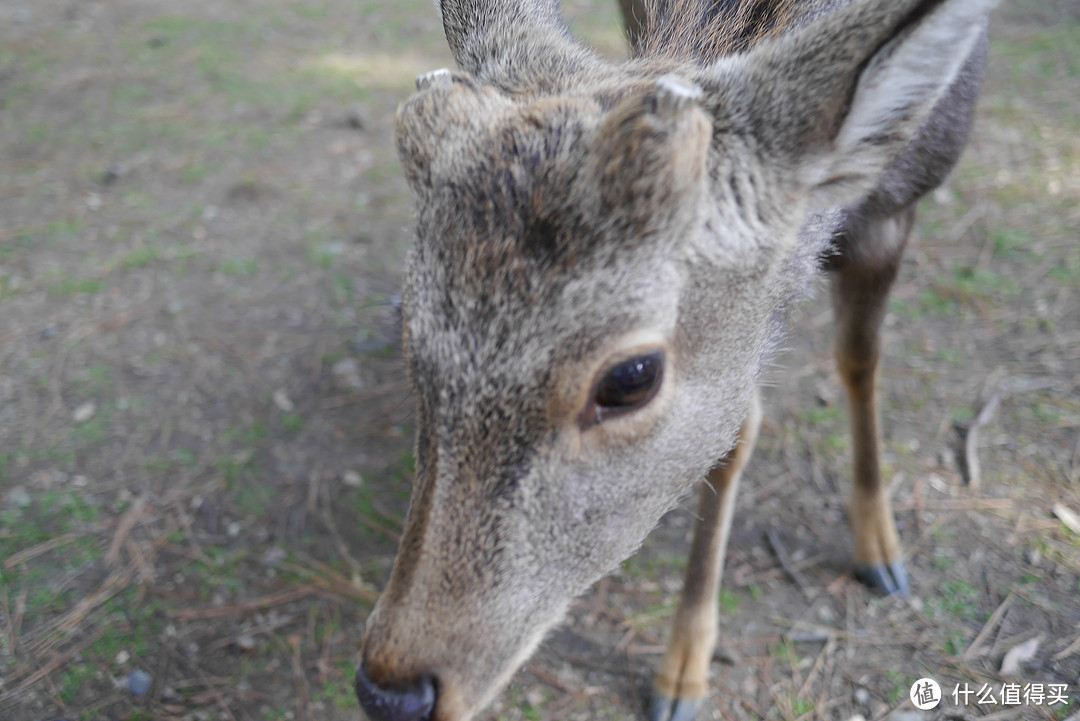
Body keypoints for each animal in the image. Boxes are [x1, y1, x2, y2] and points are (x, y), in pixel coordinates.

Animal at [356, 0, 993, 716]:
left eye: (631, 377)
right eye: (405, 319)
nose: (391, 688)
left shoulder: (896, 212)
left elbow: (859, 360)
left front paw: (880, 550)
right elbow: (739, 428)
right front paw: (684, 670)